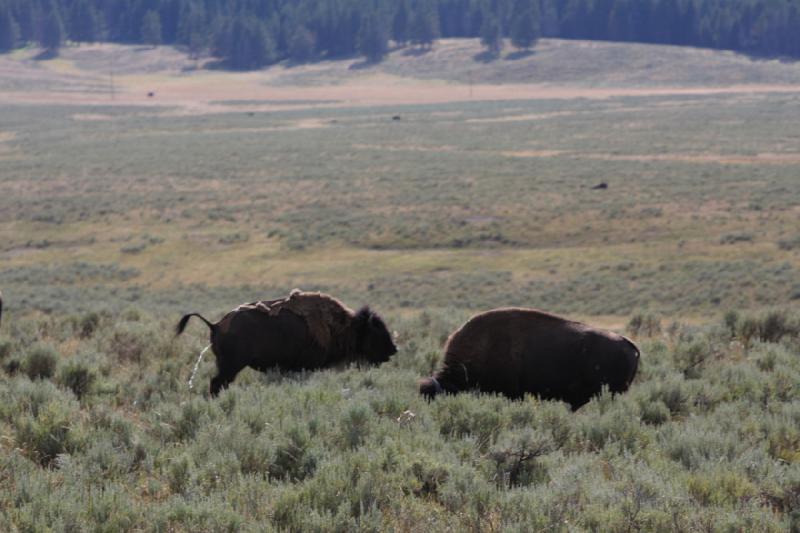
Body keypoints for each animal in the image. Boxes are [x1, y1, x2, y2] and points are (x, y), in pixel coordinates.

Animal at [177, 290, 396, 394]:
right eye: (376, 331)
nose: (394, 349)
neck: (343, 327)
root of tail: (215, 324)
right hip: (231, 366)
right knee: (217, 383)